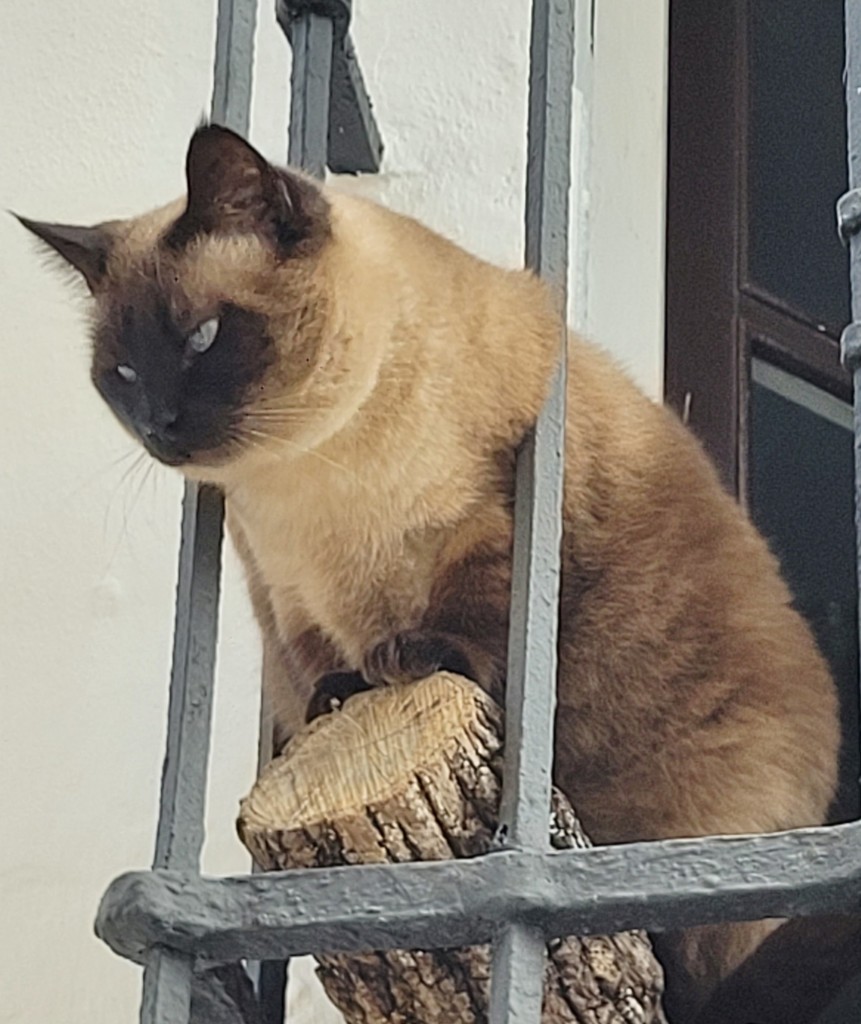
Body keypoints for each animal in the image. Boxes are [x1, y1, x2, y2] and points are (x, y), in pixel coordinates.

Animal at [18, 123, 839, 1019]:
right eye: (122, 376)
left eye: (202, 338)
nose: (160, 429)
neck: (311, 478)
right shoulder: (288, 595)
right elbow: (319, 669)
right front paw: (344, 695)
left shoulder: (488, 519)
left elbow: (470, 614)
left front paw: (411, 660)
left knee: (683, 968)